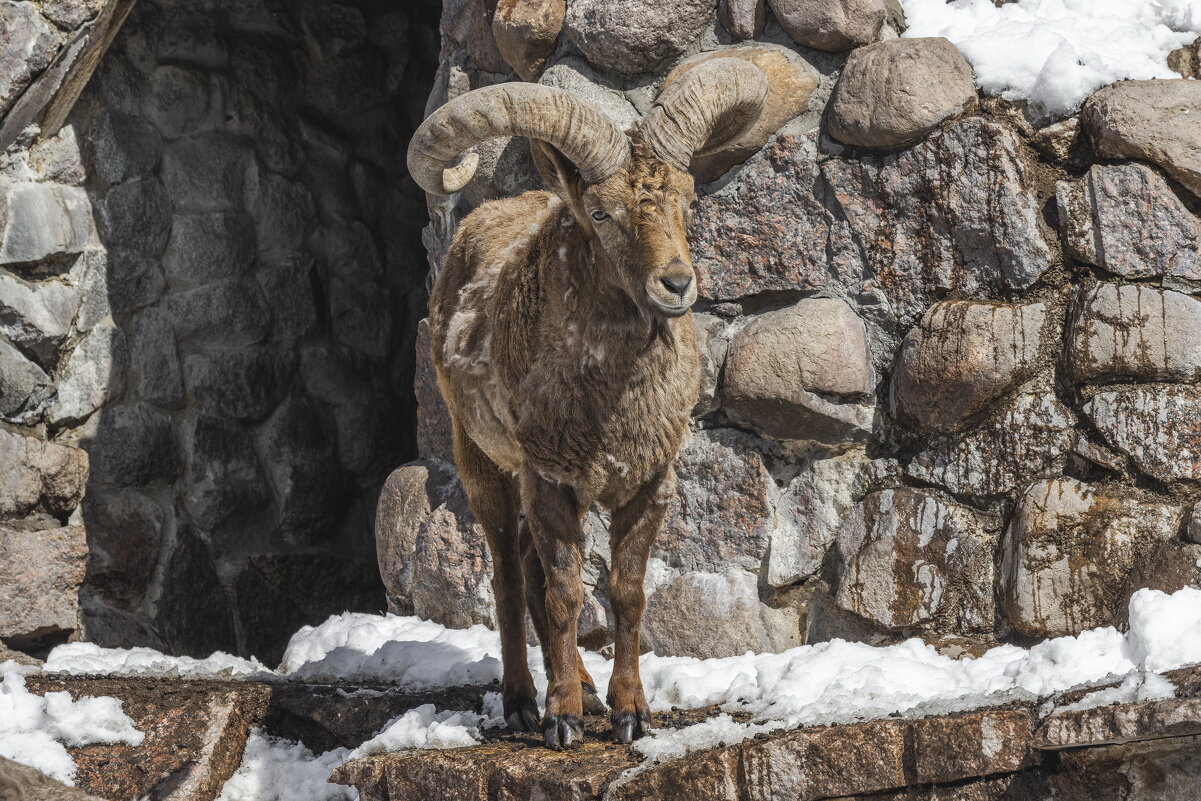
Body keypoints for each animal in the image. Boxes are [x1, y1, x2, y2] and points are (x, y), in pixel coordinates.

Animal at [408, 57, 763, 754]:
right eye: (600, 213)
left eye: (687, 199)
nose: (676, 283)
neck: (610, 402)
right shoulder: (550, 477)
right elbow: (566, 593)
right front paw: (562, 718)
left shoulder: (649, 482)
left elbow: (626, 593)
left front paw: (630, 711)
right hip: (478, 454)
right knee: (509, 573)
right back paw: (526, 700)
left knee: (526, 563)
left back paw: (584, 685)